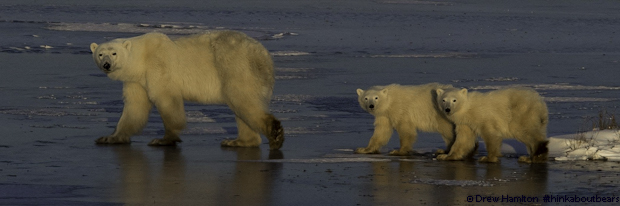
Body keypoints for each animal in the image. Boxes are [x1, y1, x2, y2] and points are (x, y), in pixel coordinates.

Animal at [90, 30, 286, 150]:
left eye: (114, 53)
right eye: (100, 54)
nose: (106, 65)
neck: (142, 58)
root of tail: (263, 55)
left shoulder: (158, 67)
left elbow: (166, 99)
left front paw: (164, 139)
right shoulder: (136, 81)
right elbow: (134, 107)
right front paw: (110, 138)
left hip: (234, 65)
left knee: (242, 99)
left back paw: (275, 133)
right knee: (242, 107)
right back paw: (239, 141)